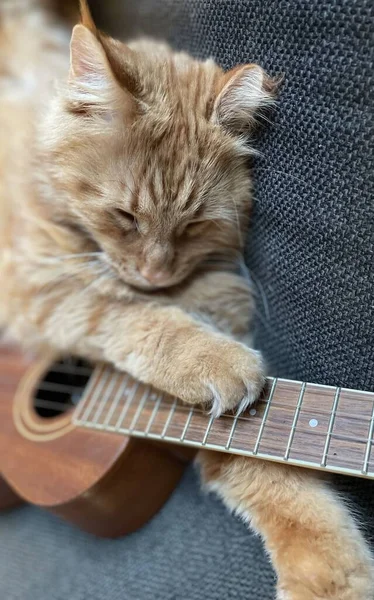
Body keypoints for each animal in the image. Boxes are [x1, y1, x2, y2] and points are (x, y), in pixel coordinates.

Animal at [0, 1, 372, 600]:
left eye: (194, 225)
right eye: (125, 217)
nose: (154, 272)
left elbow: (281, 486)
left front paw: (331, 579)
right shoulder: (32, 284)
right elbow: (124, 312)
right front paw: (209, 358)